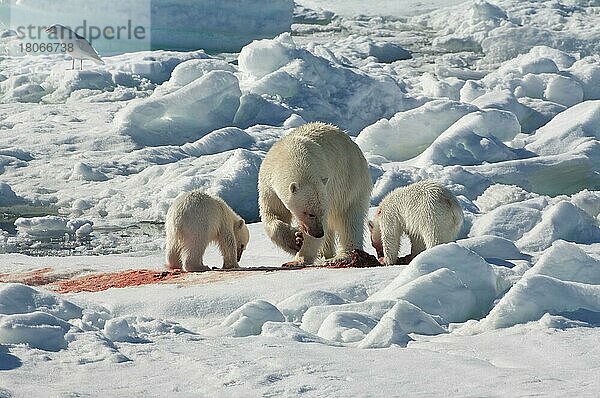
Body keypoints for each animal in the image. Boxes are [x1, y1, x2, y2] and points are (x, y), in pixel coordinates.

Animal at [258, 121, 372, 264]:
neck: (292, 153)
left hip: (352, 182)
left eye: (321, 212)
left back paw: (342, 256)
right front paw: (295, 240)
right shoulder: (269, 185)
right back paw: (325, 253)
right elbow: (274, 213)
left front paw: (299, 258)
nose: (318, 233)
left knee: (349, 219)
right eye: (310, 213)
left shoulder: (327, 185)